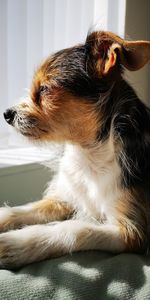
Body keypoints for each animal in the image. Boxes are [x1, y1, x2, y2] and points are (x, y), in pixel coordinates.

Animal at [1, 31, 150, 270]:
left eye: (45, 89)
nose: (6, 113)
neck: (89, 155)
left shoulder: (132, 231)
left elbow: (74, 229)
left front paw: (16, 243)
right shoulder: (64, 199)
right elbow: (22, 210)